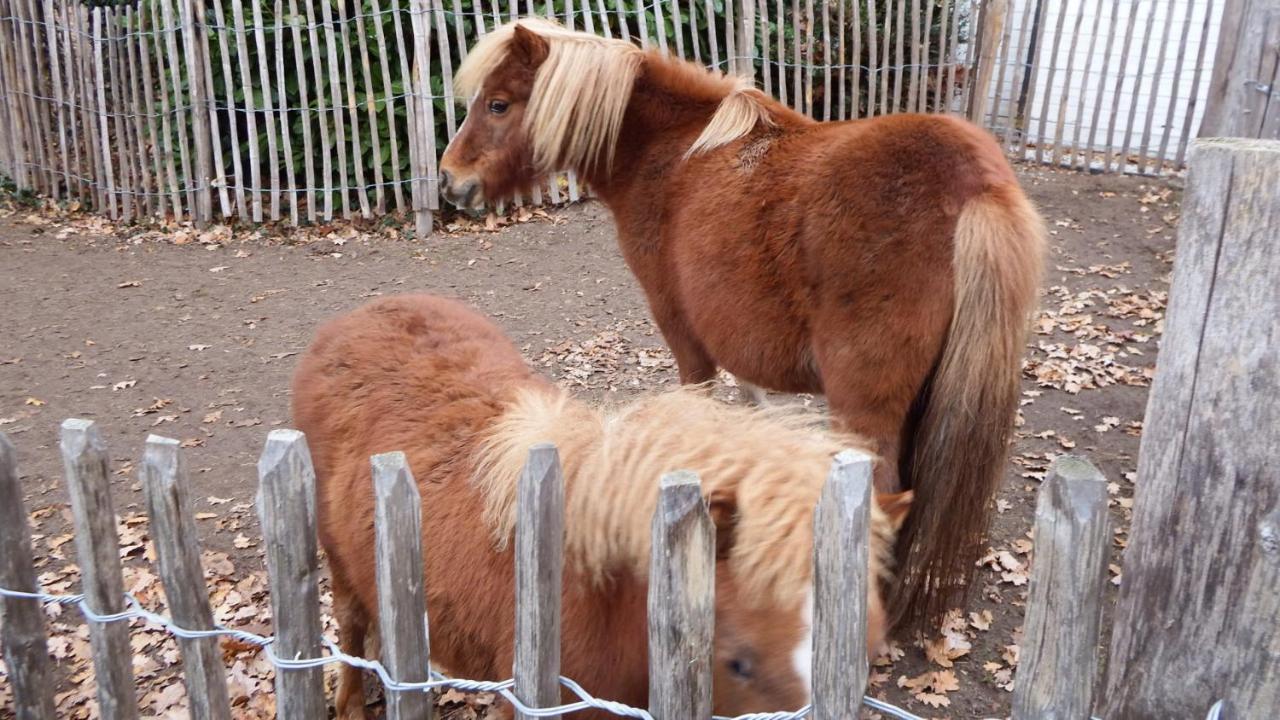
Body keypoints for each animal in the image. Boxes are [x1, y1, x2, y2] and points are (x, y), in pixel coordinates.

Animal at [290, 293, 911, 717]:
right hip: (337, 559)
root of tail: (353, 319)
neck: (604, 595)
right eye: (739, 661)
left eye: (866, 654)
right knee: (352, 624)